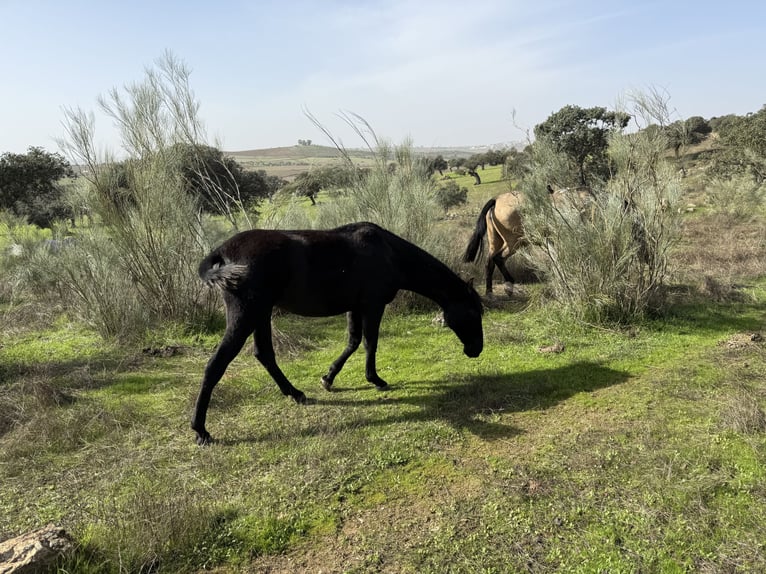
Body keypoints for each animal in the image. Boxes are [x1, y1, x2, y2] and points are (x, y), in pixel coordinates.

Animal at [190, 220, 484, 446]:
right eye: (473, 313)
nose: (476, 350)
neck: (389, 253)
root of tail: (221, 252)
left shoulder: (355, 306)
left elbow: (353, 341)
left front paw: (328, 378)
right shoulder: (373, 305)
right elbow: (370, 342)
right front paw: (375, 379)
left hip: (261, 313)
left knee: (264, 354)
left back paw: (295, 393)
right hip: (247, 314)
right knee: (216, 364)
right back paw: (200, 429)